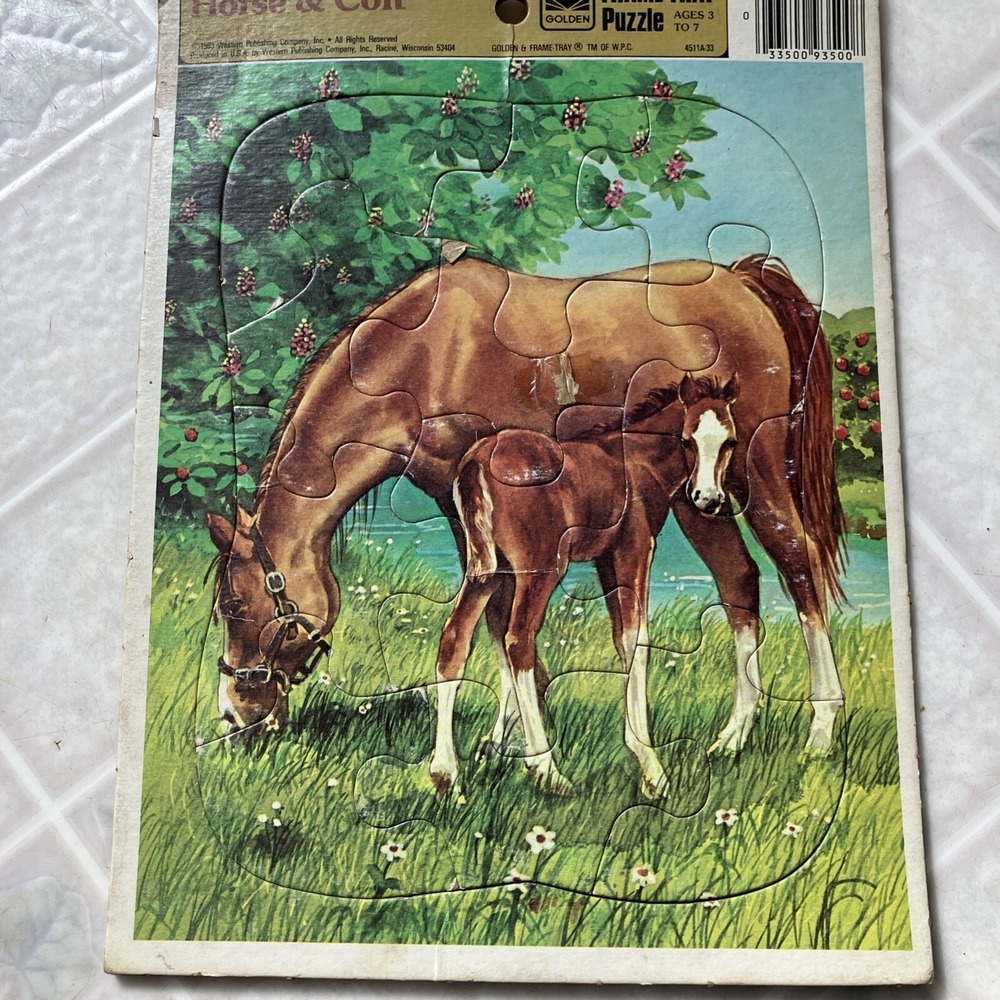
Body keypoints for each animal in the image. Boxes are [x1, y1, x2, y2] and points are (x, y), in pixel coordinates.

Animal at [429, 374, 740, 799]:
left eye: (730, 442)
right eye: (687, 440)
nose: (707, 498)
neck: (635, 461)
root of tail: (477, 459)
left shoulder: (605, 559)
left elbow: (621, 639)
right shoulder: (634, 549)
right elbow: (636, 640)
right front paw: (652, 768)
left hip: (486, 571)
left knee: (455, 641)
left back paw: (445, 775)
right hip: (540, 568)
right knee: (518, 640)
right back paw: (546, 769)